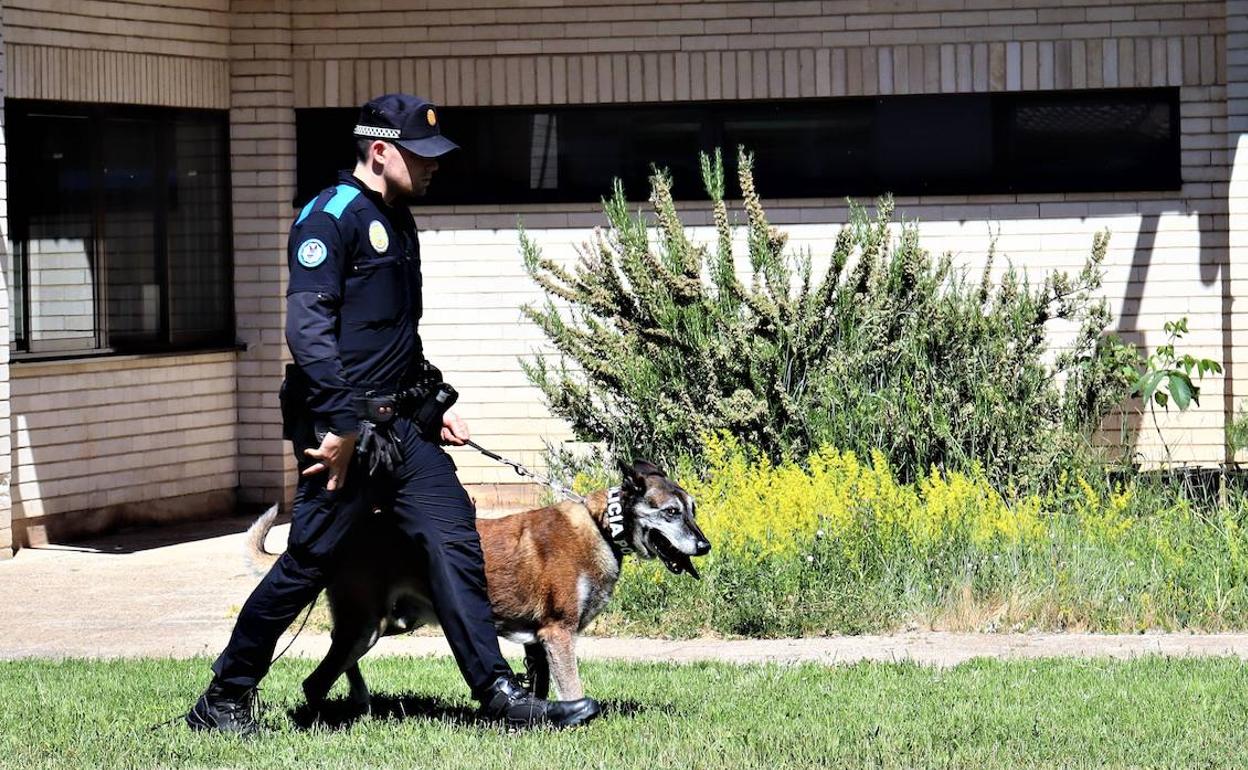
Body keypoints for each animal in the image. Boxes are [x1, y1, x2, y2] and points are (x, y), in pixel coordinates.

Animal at [244, 459, 713, 713]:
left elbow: (541, 687)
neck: (601, 527)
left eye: (692, 509)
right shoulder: (558, 634)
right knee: (316, 680)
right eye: (670, 513)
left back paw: (362, 703)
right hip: (367, 625)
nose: (705, 546)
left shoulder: (536, 643)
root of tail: (350, 539)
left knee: (338, 661)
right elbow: (573, 687)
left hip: (385, 624)